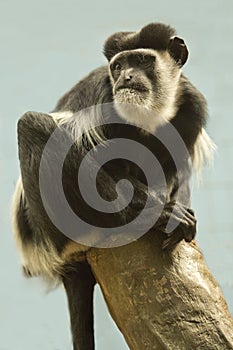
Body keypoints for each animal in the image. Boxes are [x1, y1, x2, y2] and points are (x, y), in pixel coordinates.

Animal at [11, 23, 216, 348]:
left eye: (142, 60)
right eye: (118, 66)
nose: (125, 77)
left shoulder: (192, 107)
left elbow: (171, 165)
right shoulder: (103, 98)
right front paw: (160, 212)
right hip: (51, 225)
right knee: (33, 124)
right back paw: (147, 217)